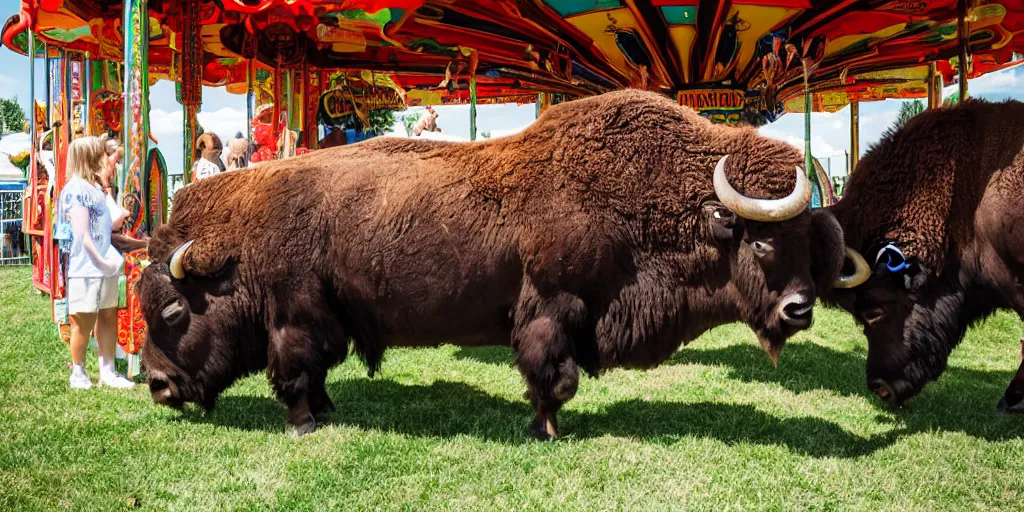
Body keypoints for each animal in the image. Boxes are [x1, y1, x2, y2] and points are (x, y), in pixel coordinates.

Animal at [140, 90, 851, 438]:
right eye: (762, 241)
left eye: (804, 242)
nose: (156, 385)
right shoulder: (552, 307)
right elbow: (552, 373)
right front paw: (546, 429)